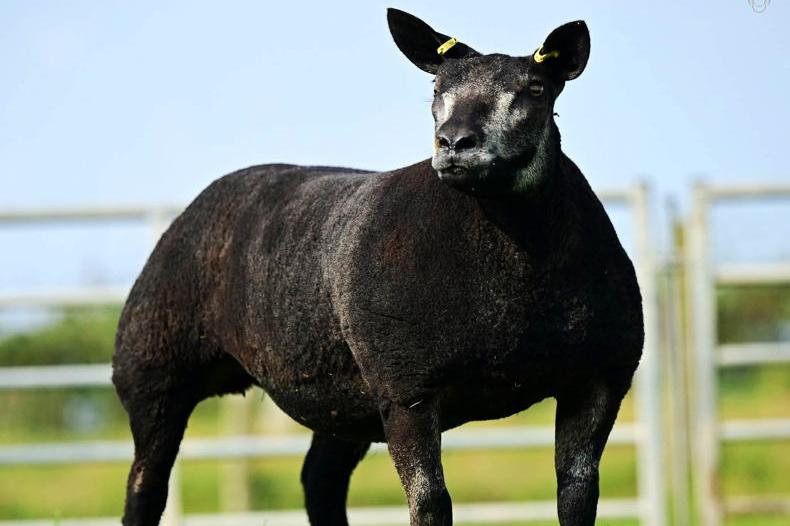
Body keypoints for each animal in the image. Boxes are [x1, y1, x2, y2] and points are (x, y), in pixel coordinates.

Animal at [112, 8, 643, 526]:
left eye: (534, 89)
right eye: (437, 87)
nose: (454, 143)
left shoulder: (599, 379)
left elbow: (577, 499)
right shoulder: (405, 389)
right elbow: (431, 505)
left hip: (342, 397)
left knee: (320, 481)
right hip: (152, 367)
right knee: (145, 489)